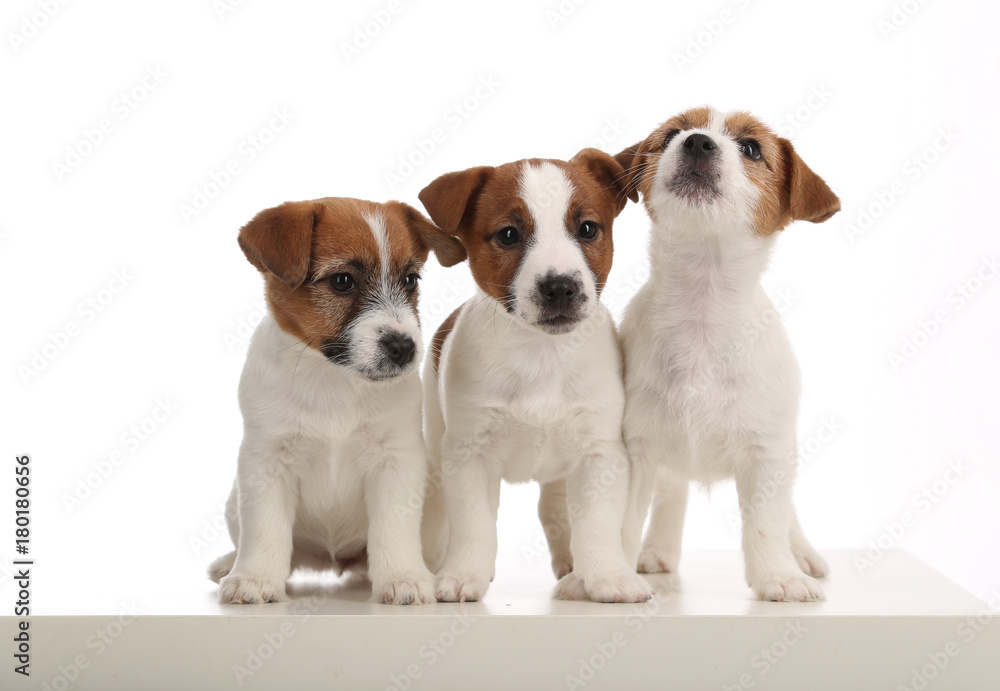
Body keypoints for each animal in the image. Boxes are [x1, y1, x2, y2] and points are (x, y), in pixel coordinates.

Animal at [210, 196, 464, 604]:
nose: (405, 347)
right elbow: (265, 529)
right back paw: (229, 563)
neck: (334, 379)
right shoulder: (266, 461)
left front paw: (403, 577)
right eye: (342, 281)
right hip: (235, 501)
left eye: (410, 280)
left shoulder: (397, 461)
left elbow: (393, 528)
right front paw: (254, 578)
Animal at [416, 149, 656, 604]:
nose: (560, 287)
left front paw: (608, 577)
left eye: (587, 228)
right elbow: (474, 523)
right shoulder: (469, 455)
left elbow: (596, 524)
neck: (542, 355)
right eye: (509, 235)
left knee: (555, 509)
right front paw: (463, 575)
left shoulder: (600, 455)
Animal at [616, 107, 844, 600]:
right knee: (672, 496)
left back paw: (803, 555)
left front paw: (778, 576)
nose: (697, 142)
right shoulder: (635, 453)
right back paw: (658, 551)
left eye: (752, 148)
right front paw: (612, 573)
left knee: (787, 515)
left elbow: (766, 523)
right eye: (672, 134)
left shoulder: (768, 454)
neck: (702, 312)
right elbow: (620, 521)